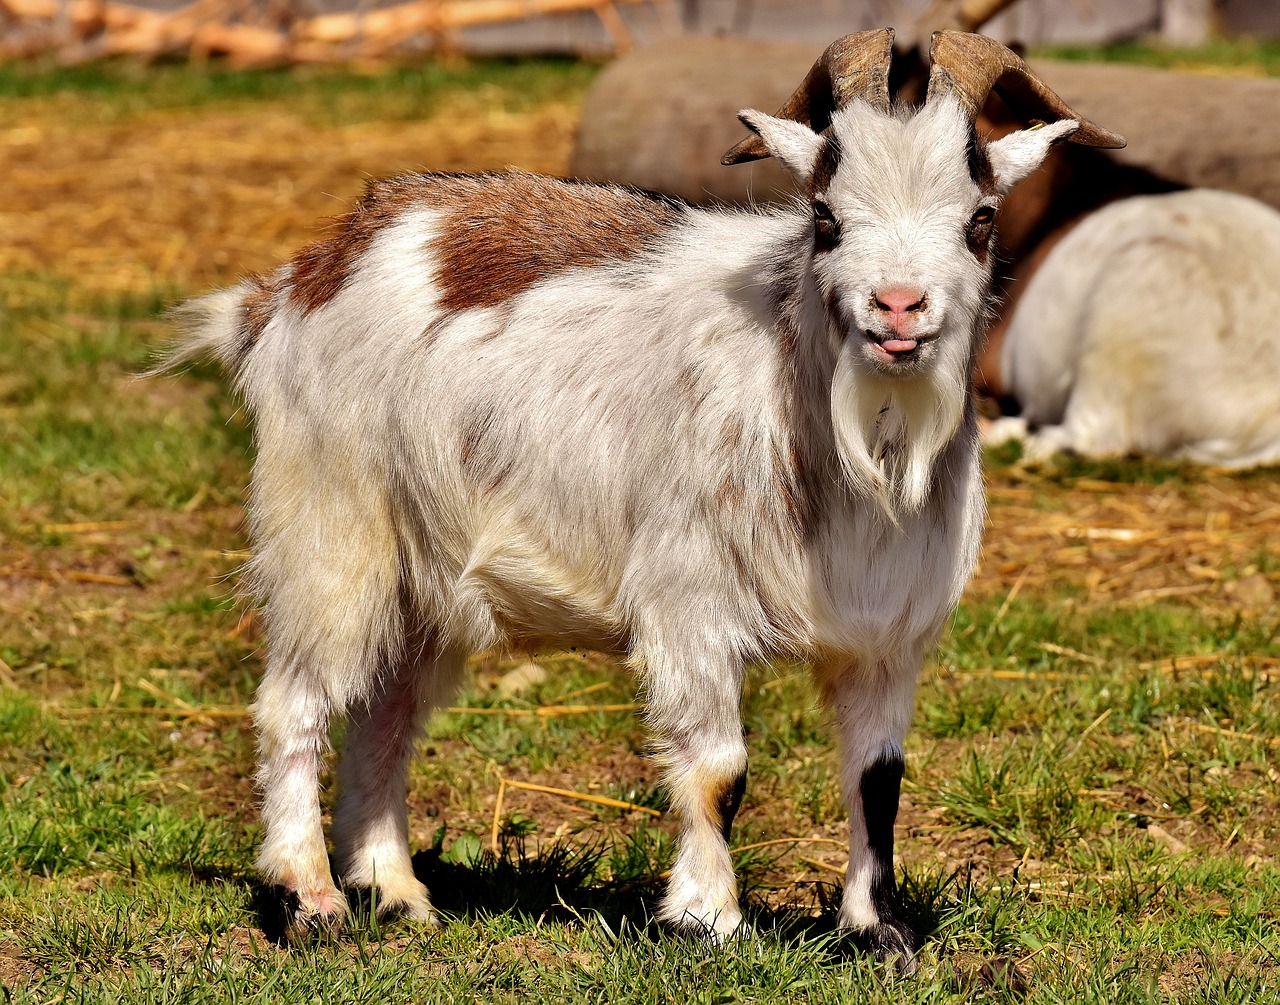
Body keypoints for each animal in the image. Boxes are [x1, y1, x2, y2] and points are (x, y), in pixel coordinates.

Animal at [162, 25, 1121, 962]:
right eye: (825, 216)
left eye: (981, 218)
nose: (898, 306)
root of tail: (299, 277)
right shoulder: (690, 601)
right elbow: (719, 767)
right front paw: (709, 919)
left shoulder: (886, 631)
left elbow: (877, 777)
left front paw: (878, 932)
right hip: (332, 522)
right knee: (295, 702)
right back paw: (310, 900)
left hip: (423, 579)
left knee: (385, 717)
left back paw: (396, 894)